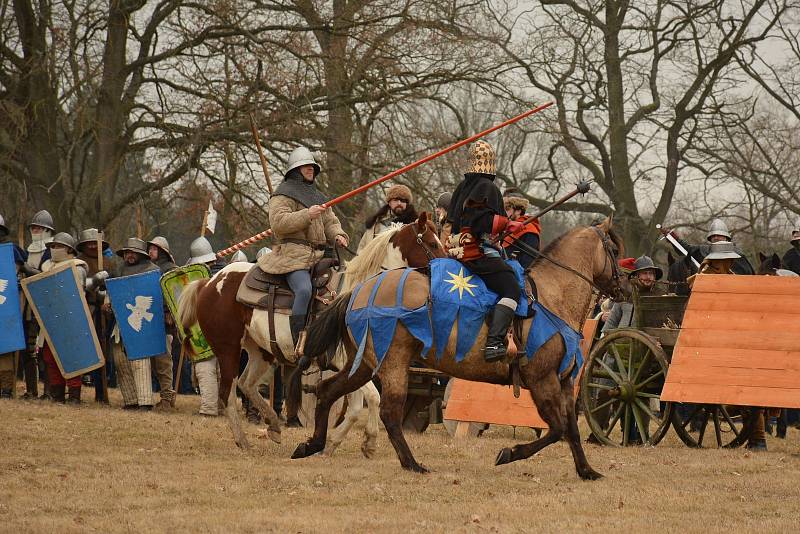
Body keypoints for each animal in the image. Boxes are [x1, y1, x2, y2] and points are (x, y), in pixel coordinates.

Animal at [174, 211, 444, 454]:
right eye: (432, 243)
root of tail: (208, 282)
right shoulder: (345, 362)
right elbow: (369, 398)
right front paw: (363, 441)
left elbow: (358, 405)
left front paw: (337, 443)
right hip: (227, 349)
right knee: (228, 392)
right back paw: (244, 441)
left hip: (261, 351)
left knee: (247, 383)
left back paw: (273, 425)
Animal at [294, 219, 624, 482]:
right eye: (615, 251)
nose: (623, 287)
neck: (553, 297)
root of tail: (357, 292)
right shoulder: (543, 381)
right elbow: (556, 429)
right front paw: (509, 453)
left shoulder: (564, 384)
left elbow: (571, 429)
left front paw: (587, 471)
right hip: (392, 363)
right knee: (388, 412)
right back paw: (412, 464)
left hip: (362, 364)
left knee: (327, 390)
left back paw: (312, 444)